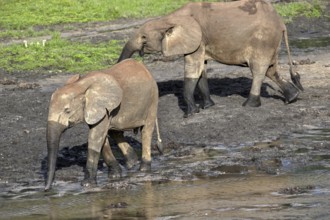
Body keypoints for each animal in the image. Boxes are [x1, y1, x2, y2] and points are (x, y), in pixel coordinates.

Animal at [43, 58, 162, 191]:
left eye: (67, 110)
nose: (46, 189)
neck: (81, 85)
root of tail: (144, 68)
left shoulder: (102, 107)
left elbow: (95, 137)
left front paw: (87, 185)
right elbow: (101, 138)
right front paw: (114, 176)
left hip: (153, 99)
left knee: (146, 131)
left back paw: (143, 170)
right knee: (115, 131)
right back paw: (132, 163)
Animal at [118, 0, 304, 117]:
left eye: (143, 38)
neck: (169, 18)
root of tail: (282, 23)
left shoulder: (197, 40)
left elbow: (193, 69)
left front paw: (191, 114)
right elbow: (201, 70)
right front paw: (207, 107)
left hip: (262, 40)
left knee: (258, 70)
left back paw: (249, 104)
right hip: (270, 42)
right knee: (271, 70)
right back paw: (292, 98)